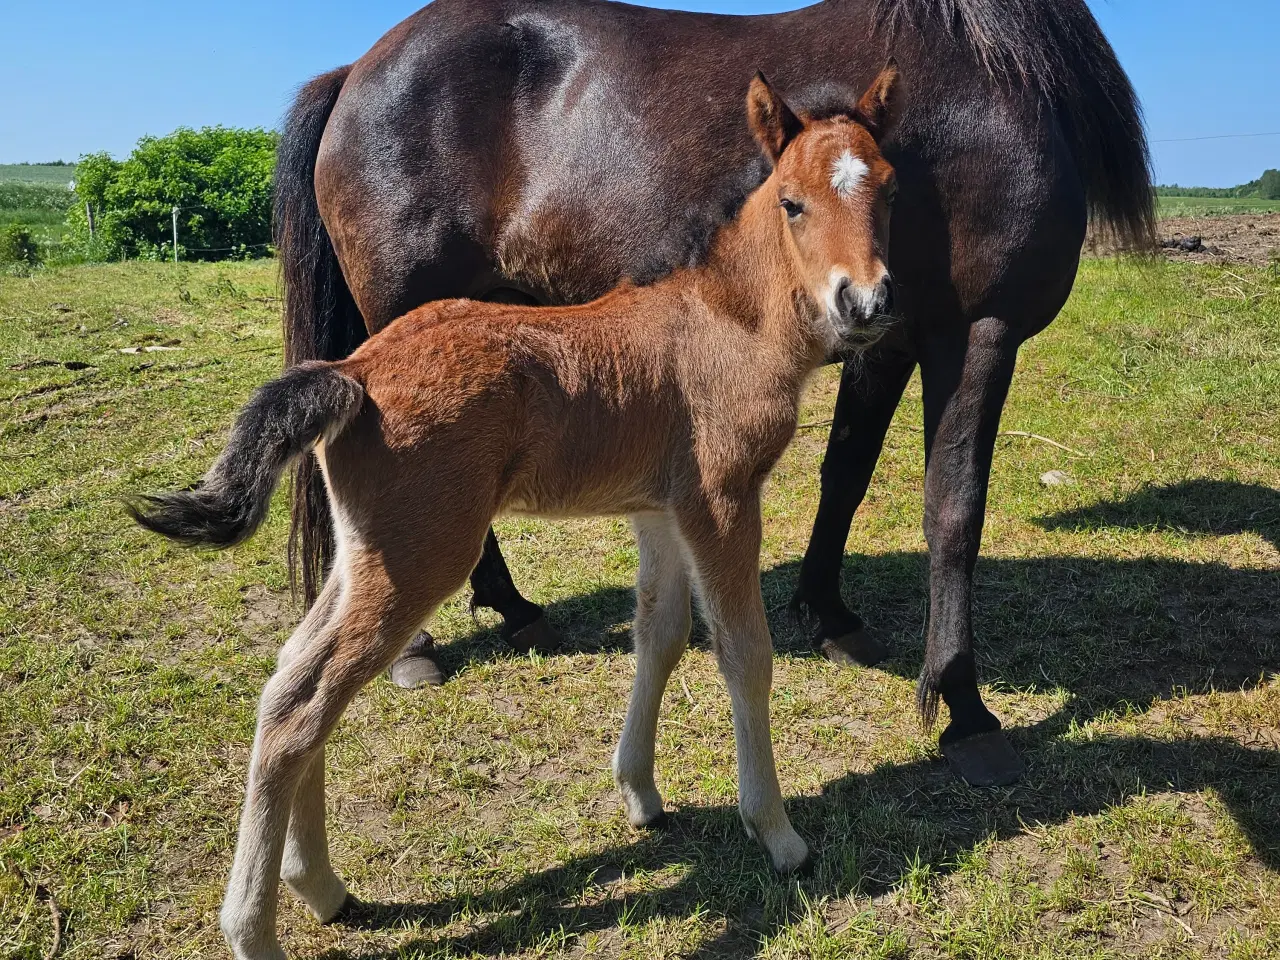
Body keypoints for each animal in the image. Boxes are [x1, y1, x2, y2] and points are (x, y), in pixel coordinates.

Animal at [135, 67, 901, 960]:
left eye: (887, 186)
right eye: (792, 202)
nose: (865, 303)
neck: (723, 321)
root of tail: (352, 373)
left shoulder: (658, 509)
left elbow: (660, 635)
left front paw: (640, 793)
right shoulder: (722, 498)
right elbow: (745, 655)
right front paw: (777, 834)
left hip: (369, 556)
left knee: (291, 678)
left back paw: (320, 886)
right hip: (423, 556)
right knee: (302, 706)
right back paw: (255, 928)